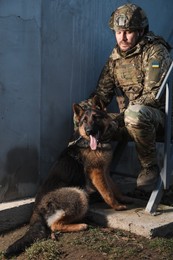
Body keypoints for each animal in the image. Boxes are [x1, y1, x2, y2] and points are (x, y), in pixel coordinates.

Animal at [4, 96, 130, 258]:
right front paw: (117, 206)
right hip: (79, 194)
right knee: (54, 225)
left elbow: (114, 187)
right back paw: (80, 225)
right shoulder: (97, 173)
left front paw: (124, 198)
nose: (89, 131)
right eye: (84, 121)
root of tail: (36, 208)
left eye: (96, 118)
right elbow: (107, 192)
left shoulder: (105, 172)